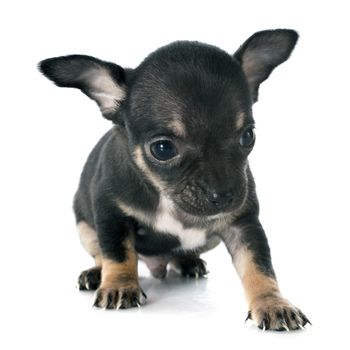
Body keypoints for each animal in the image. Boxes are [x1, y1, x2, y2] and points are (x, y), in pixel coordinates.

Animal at [39, 29, 310, 330]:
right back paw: (96, 273)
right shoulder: (111, 215)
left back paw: (188, 262)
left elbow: (258, 265)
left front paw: (272, 304)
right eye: (163, 149)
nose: (225, 195)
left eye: (247, 136)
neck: (167, 197)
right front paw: (120, 285)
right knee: (100, 252)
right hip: (85, 228)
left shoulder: (243, 224)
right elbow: (118, 253)